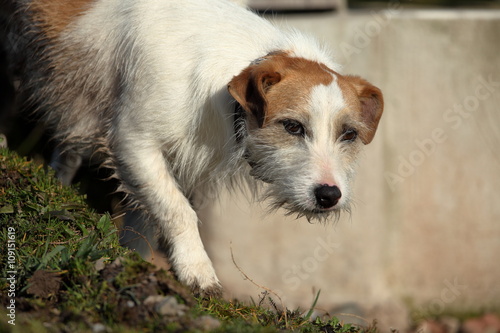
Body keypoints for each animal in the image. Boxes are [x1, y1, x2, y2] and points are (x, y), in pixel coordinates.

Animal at [6, 0, 382, 294]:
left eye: (348, 134)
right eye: (292, 126)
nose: (329, 195)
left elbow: (145, 217)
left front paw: (134, 262)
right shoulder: (134, 144)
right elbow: (177, 209)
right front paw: (197, 269)